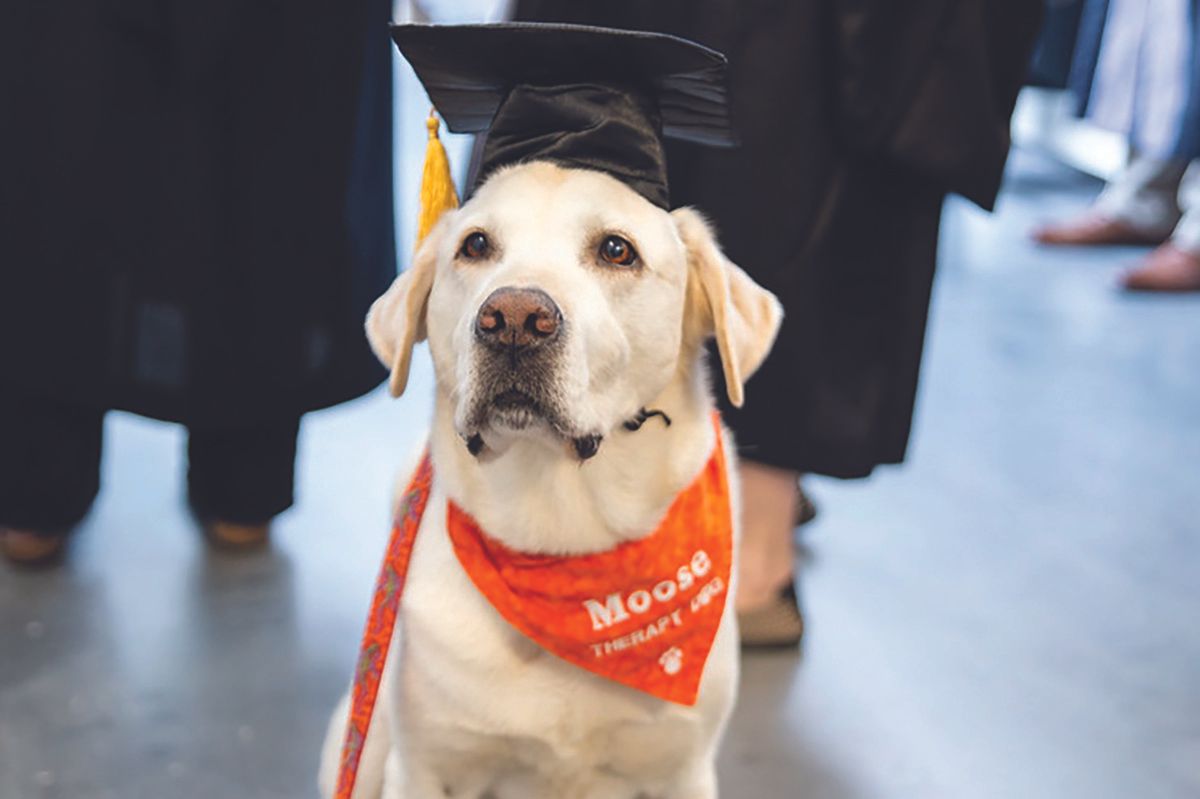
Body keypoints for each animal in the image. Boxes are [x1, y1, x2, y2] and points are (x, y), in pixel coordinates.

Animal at [321, 157, 787, 796]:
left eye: (617, 250)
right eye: (476, 246)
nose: (514, 319)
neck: (563, 539)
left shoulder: (681, 770)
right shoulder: (423, 768)